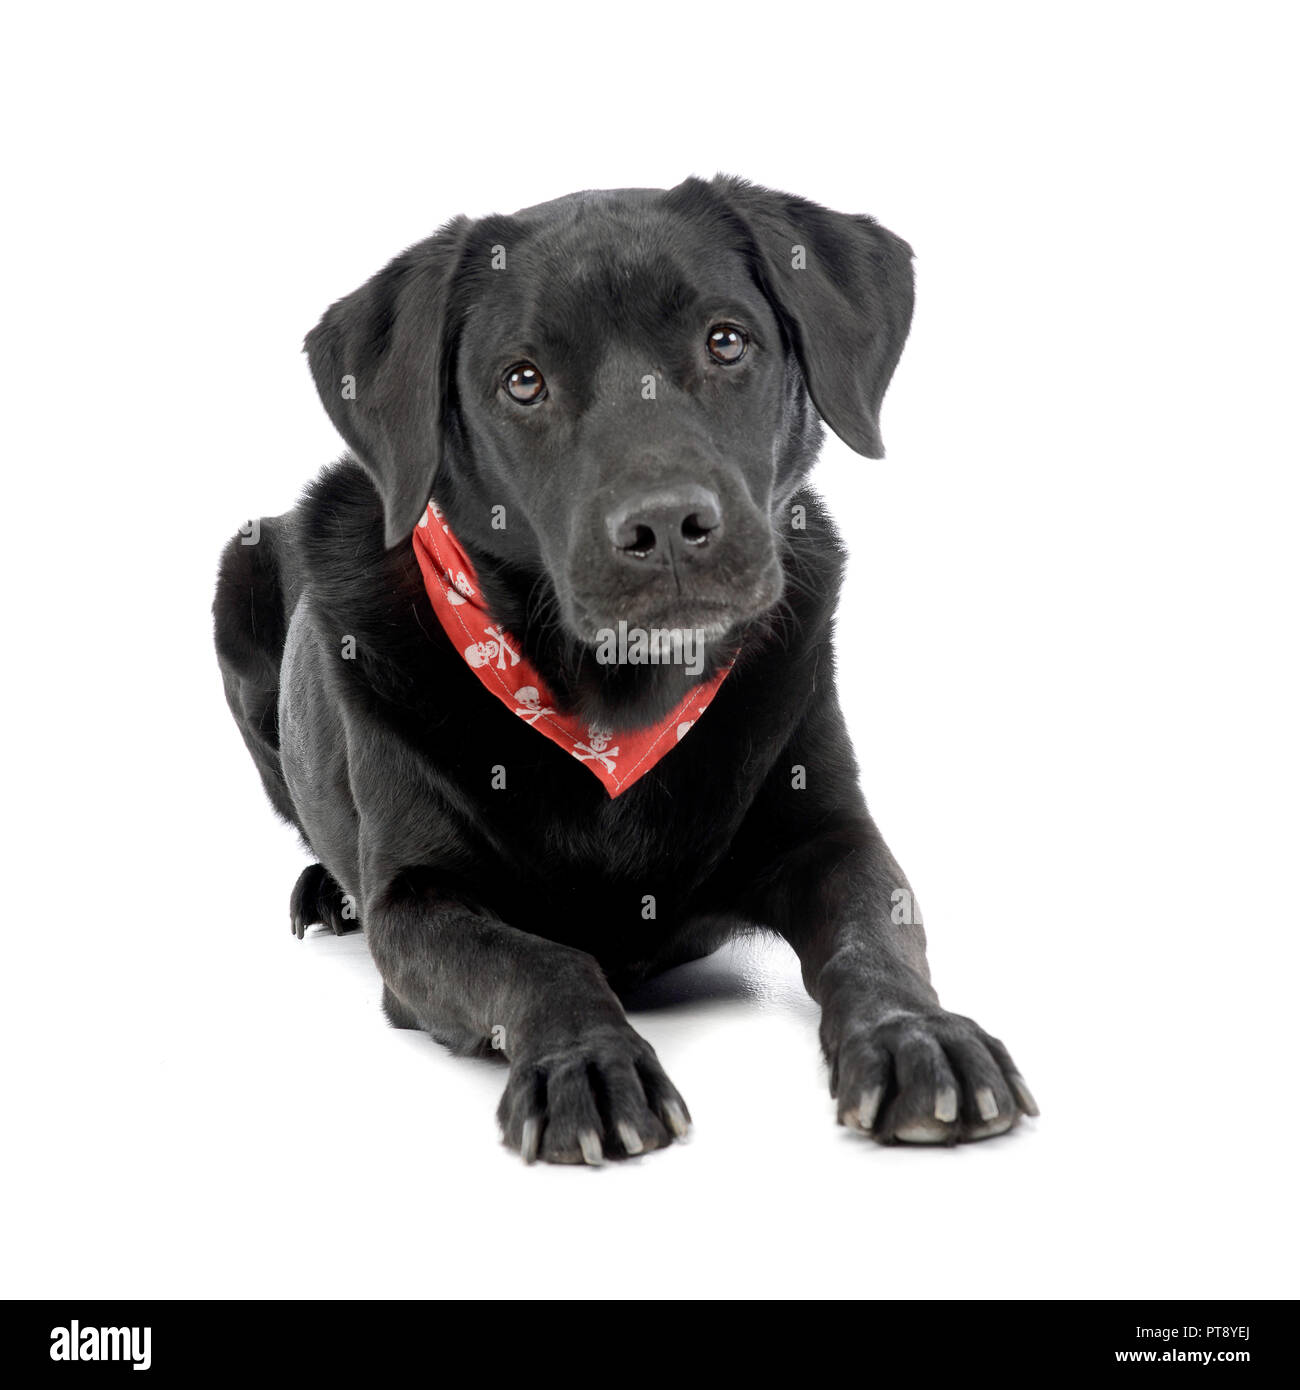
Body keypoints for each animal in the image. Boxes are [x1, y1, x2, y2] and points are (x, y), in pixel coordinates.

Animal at [214, 173, 1034, 1156]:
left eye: (726, 341)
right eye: (522, 381)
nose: (668, 526)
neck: (620, 710)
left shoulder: (831, 830)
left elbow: (874, 930)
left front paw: (917, 1036)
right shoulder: (418, 902)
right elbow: (541, 959)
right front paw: (586, 1064)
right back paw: (325, 894)